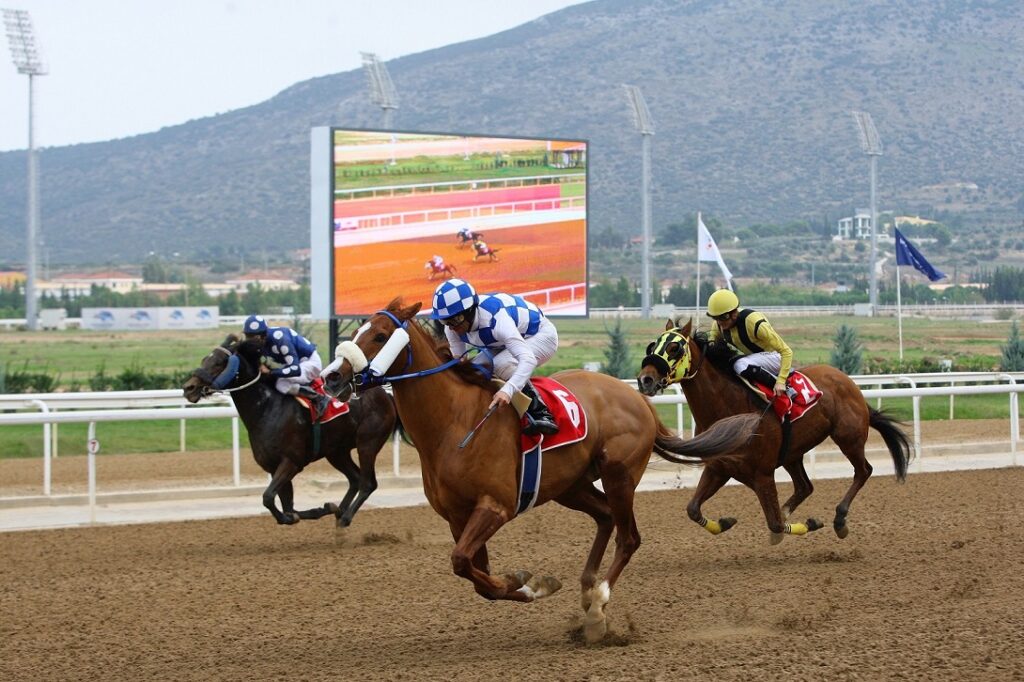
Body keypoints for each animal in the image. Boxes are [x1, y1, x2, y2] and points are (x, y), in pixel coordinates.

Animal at [181, 333, 395, 524]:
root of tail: (385, 395)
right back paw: (339, 510)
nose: (188, 388)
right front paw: (320, 509)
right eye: (205, 359)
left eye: (219, 362)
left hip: (367, 443)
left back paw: (345, 517)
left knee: (368, 483)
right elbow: (287, 506)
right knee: (355, 479)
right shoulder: (273, 465)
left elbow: (269, 498)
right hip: (336, 451)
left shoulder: (291, 461)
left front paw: (299, 515)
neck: (267, 408)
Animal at [319, 301, 761, 638]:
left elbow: (463, 563)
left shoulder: (495, 507)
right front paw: (529, 583)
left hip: (619, 474)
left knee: (629, 537)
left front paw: (533, 585)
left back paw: (598, 603)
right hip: (571, 486)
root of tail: (637, 397)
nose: (331, 376)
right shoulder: (457, 516)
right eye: (359, 330)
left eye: (378, 336)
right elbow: (475, 573)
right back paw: (586, 589)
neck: (454, 423)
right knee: (605, 518)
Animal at [634, 317, 909, 540]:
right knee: (805, 486)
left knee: (863, 471)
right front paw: (725, 522)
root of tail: (849, 383)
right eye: (652, 346)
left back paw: (840, 519)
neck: (730, 408)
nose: (645, 380)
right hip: (792, 452)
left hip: (848, 437)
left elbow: (775, 523)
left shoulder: (762, 474)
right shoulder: (719, 468)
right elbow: (692, 509)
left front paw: (810, 523)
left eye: (674, 348)